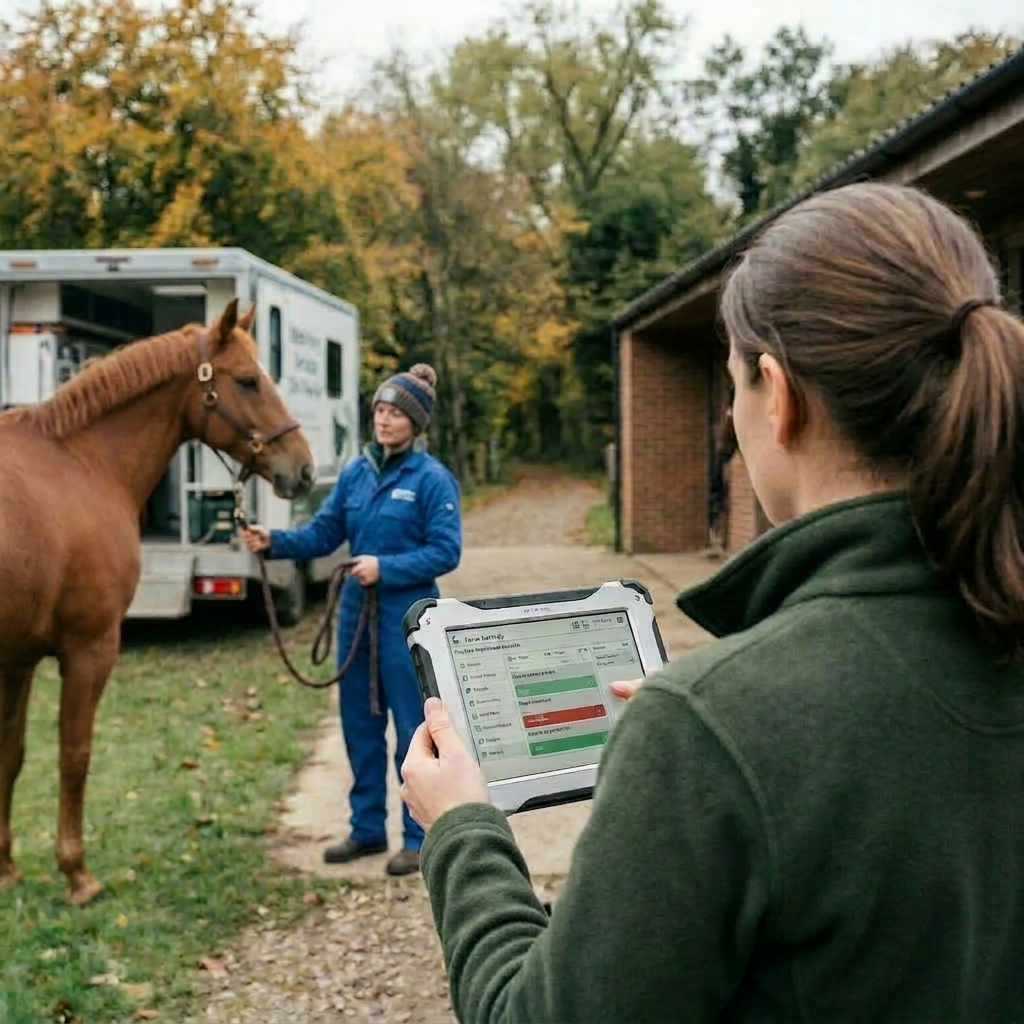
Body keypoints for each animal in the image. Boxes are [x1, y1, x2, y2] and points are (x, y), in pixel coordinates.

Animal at [0, 298, 315, 906]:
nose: (304, 468)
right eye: (248, 379)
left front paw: (5, 868)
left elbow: (11, 754)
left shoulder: (17, 661)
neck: (80, 463)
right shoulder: (89, 650)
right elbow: (74, 756)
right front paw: (77, 874)